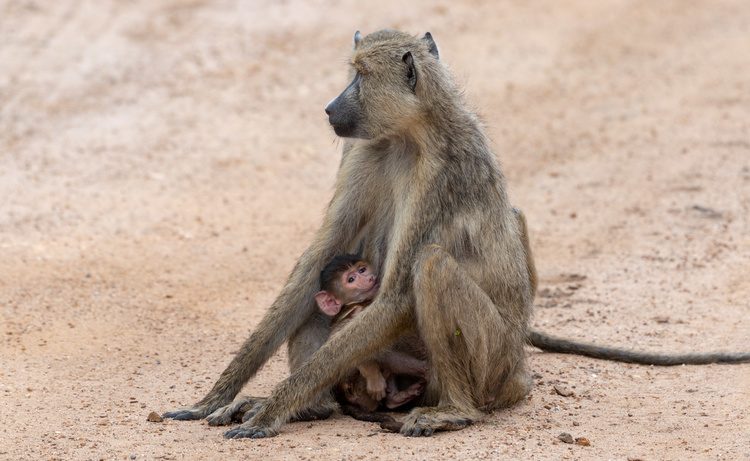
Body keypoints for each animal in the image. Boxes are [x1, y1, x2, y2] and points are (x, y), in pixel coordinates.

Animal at [166, 28, 750, 438]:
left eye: (358, 76)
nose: (330, 107)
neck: (411, 133)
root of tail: (520, 371)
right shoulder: (361, 150)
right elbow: (316, 262)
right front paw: (216, 399)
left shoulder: (444, 174)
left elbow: (398, 292)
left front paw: (271, 409)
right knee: (322, 293)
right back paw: (319, 406)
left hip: (493, 360)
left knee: (431, 266)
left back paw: (453, 412)